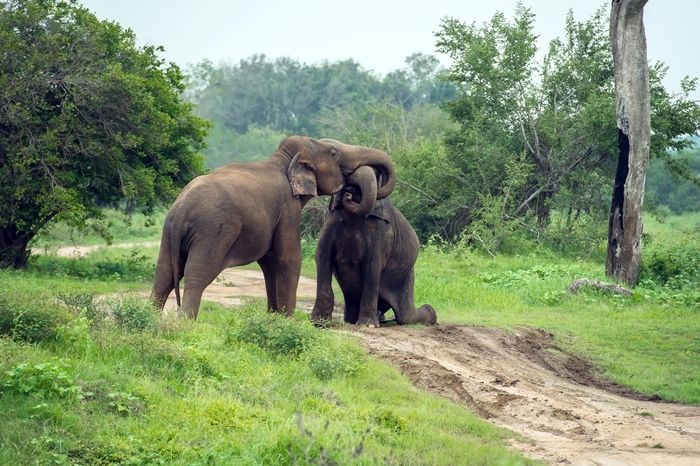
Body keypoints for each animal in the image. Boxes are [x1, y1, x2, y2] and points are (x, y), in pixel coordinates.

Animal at [152, 136, 396, 319]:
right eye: (334, 153)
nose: (349, 193)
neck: (284, 159)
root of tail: (181, 211)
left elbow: (270, 262)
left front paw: (273, 317)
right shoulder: (288, 209)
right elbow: (289, 258)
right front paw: (287, 320)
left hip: (168, 231)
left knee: (164, 274)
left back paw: (152, 317)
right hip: (212, 232)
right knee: (197, 274)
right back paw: (184, 322)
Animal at [311, 165, 437, 327]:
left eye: (377, 174)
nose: (348, 194)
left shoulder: (382, 231)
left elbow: (373, 265)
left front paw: (367, 324)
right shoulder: (331, 221)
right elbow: (322, 256)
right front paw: (318, 321)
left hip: (407, 280)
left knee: (406, 316)